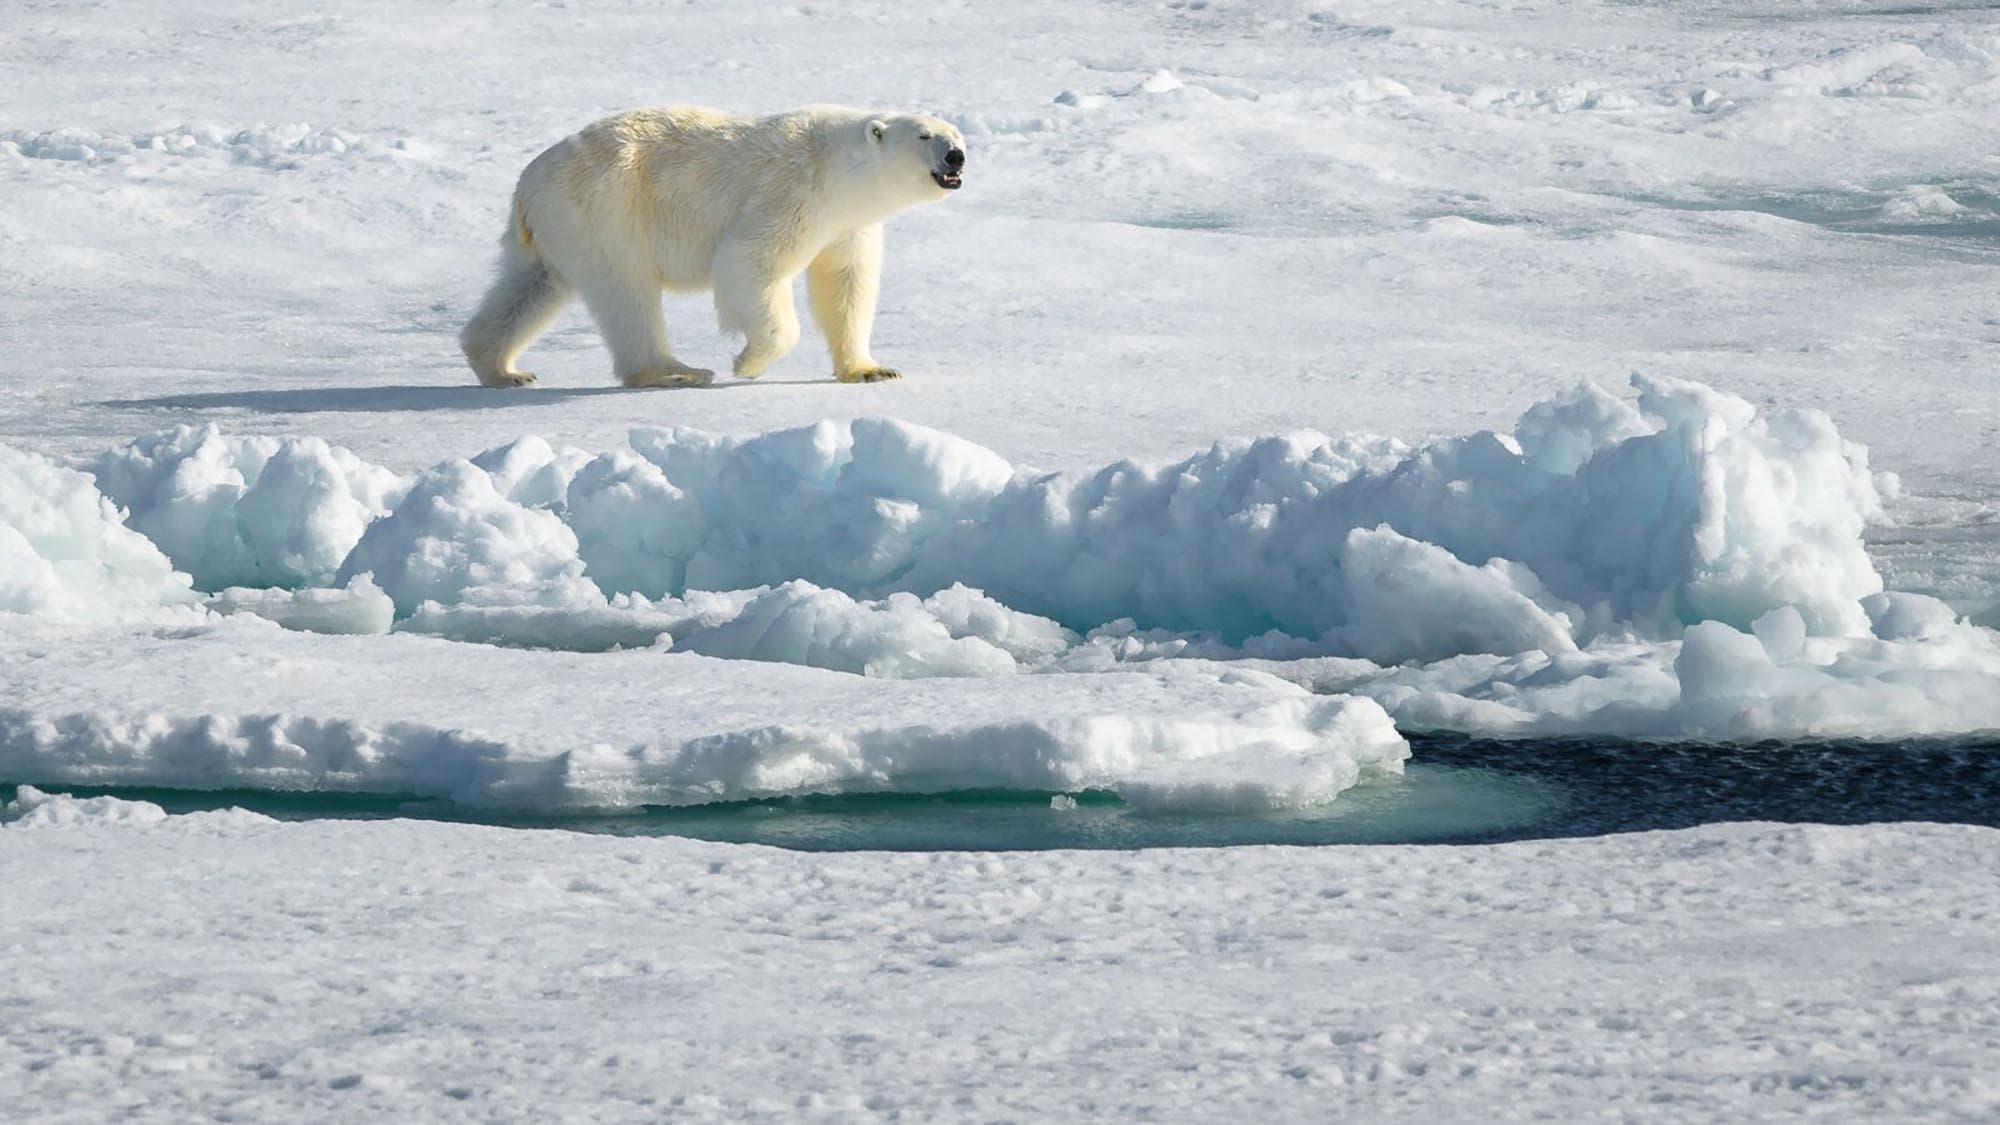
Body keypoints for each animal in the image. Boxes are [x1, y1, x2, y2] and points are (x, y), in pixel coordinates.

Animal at [459, 105, 967, 389]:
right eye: (924, 135)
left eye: (956, 134)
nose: (956, 156)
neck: (841, 165)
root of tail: (527, 184)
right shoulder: (794, 192)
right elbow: (747, 260)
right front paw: (748, 362)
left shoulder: (847, 224)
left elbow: (844, 283)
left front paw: (870, 370)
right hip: (606, 210)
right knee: (626, 291)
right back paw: (674, 371)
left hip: (555, 228)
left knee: (532, 287)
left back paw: (504, 370)